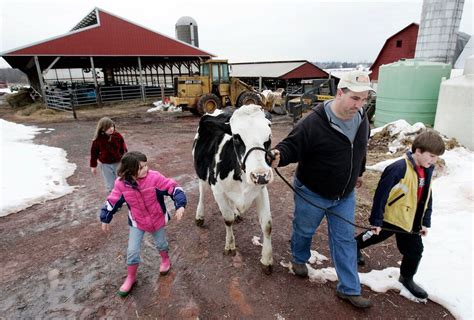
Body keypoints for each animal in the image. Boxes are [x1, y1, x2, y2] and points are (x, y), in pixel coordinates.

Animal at [193, 104, 274, 274]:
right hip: (201, 174)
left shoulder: (261, 189)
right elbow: (227, 219)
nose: (261, 175)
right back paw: (200, 216)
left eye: (269, 136)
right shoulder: (218, 190)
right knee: (202, 192)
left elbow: (267, 225)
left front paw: (266, 260)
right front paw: (230, 246)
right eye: (236, 137)